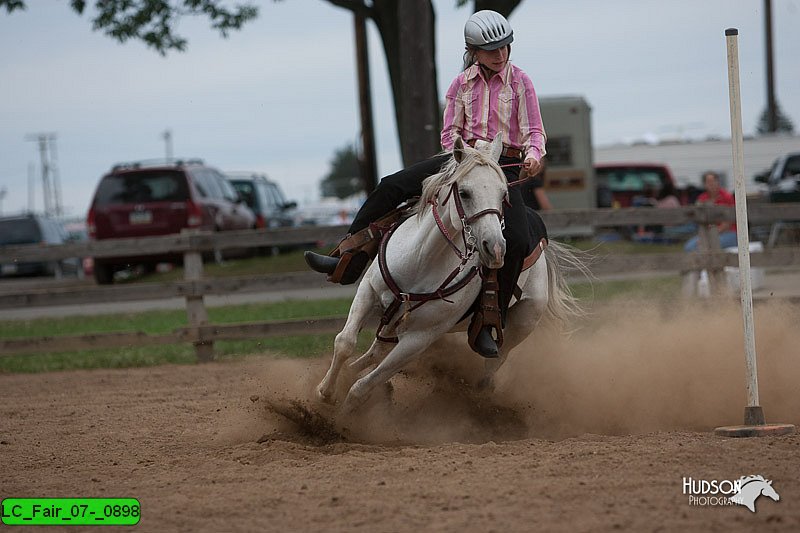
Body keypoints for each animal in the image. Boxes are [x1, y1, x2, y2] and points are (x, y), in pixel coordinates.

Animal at [318, 134, 588, 412]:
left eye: (504, 194)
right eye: (465, 192)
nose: (496, 248)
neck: (421, 261)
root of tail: (543, 246)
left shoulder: (421, 337)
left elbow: (366, 384)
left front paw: (342, 413)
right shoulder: (368, 291)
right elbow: (345, 342)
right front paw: (326, 392)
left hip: (521, 324)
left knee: (491, 367)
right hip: (393, 321)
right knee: (374, 352)